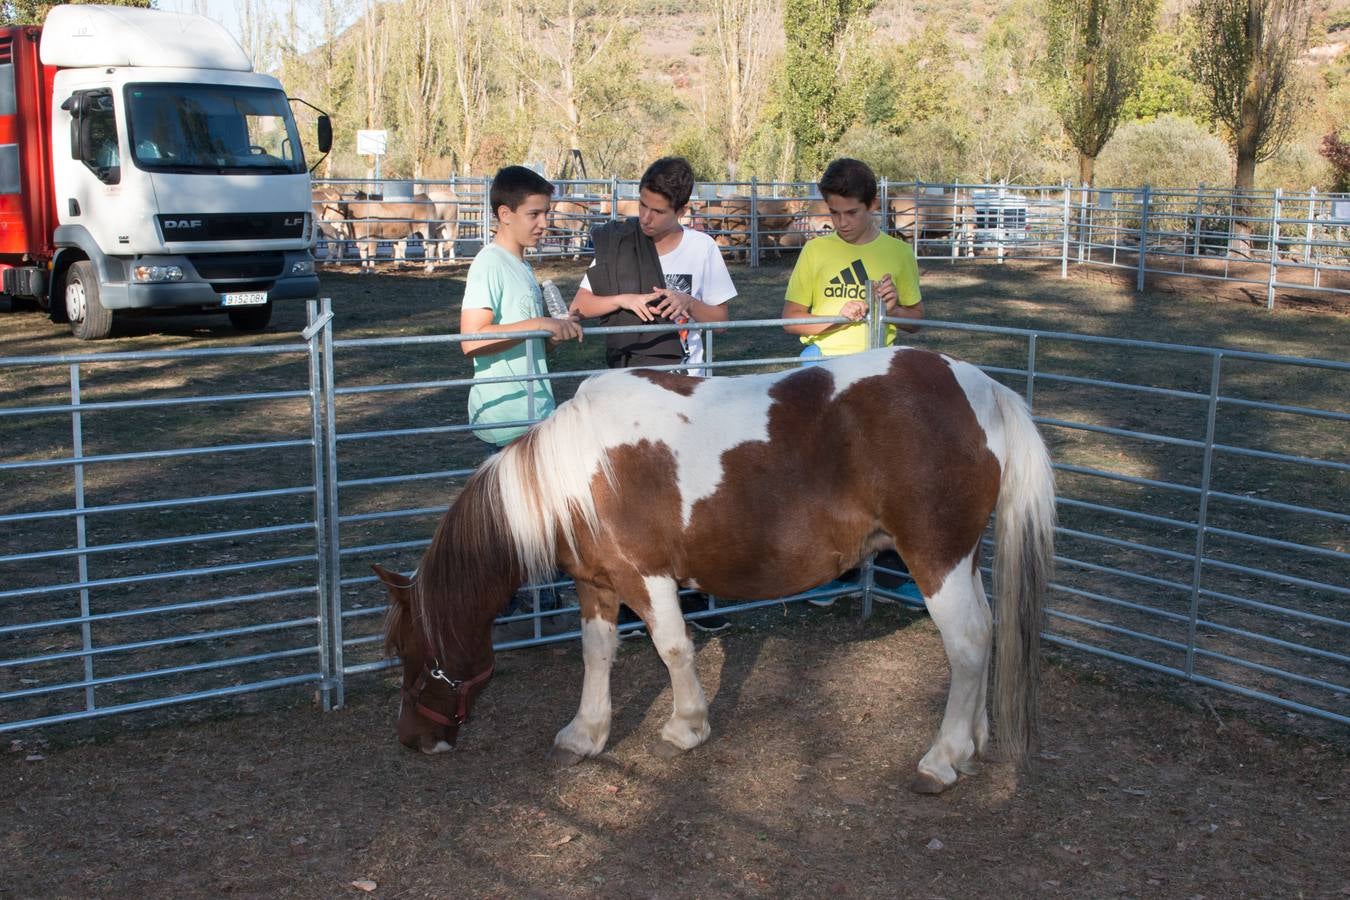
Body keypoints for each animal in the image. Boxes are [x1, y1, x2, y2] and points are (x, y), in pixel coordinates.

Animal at [378, 348, 1053, 793]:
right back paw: (974, 741)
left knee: (967, 643)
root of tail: (978, 387)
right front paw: (586, 734)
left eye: (416, 659)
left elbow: (673, 648)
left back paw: (942, 759)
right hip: (963, 558)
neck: (579, 470)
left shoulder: (646, 577)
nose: (413, 740)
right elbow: (597, 653)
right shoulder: (597, 583)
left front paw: (685, 727)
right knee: (986, 633)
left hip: (935, 559)